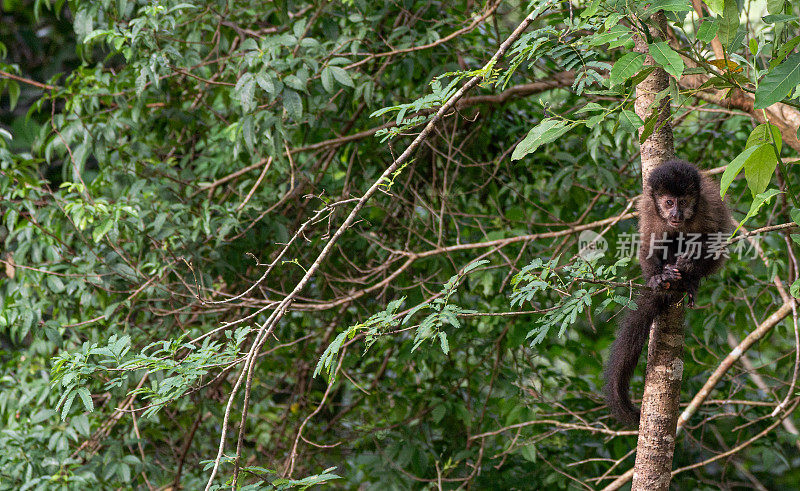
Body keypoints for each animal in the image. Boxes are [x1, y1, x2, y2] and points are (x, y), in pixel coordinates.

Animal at [608, 159, 732, 426]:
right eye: (668, 202)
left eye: (682, 202)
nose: (675, 214)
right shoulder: (649, 210)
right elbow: (648, 242)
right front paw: (657, 277)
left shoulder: (708, 206)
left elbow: (715, 241)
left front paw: (690, 265)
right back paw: (667, 275)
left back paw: (687, 278)